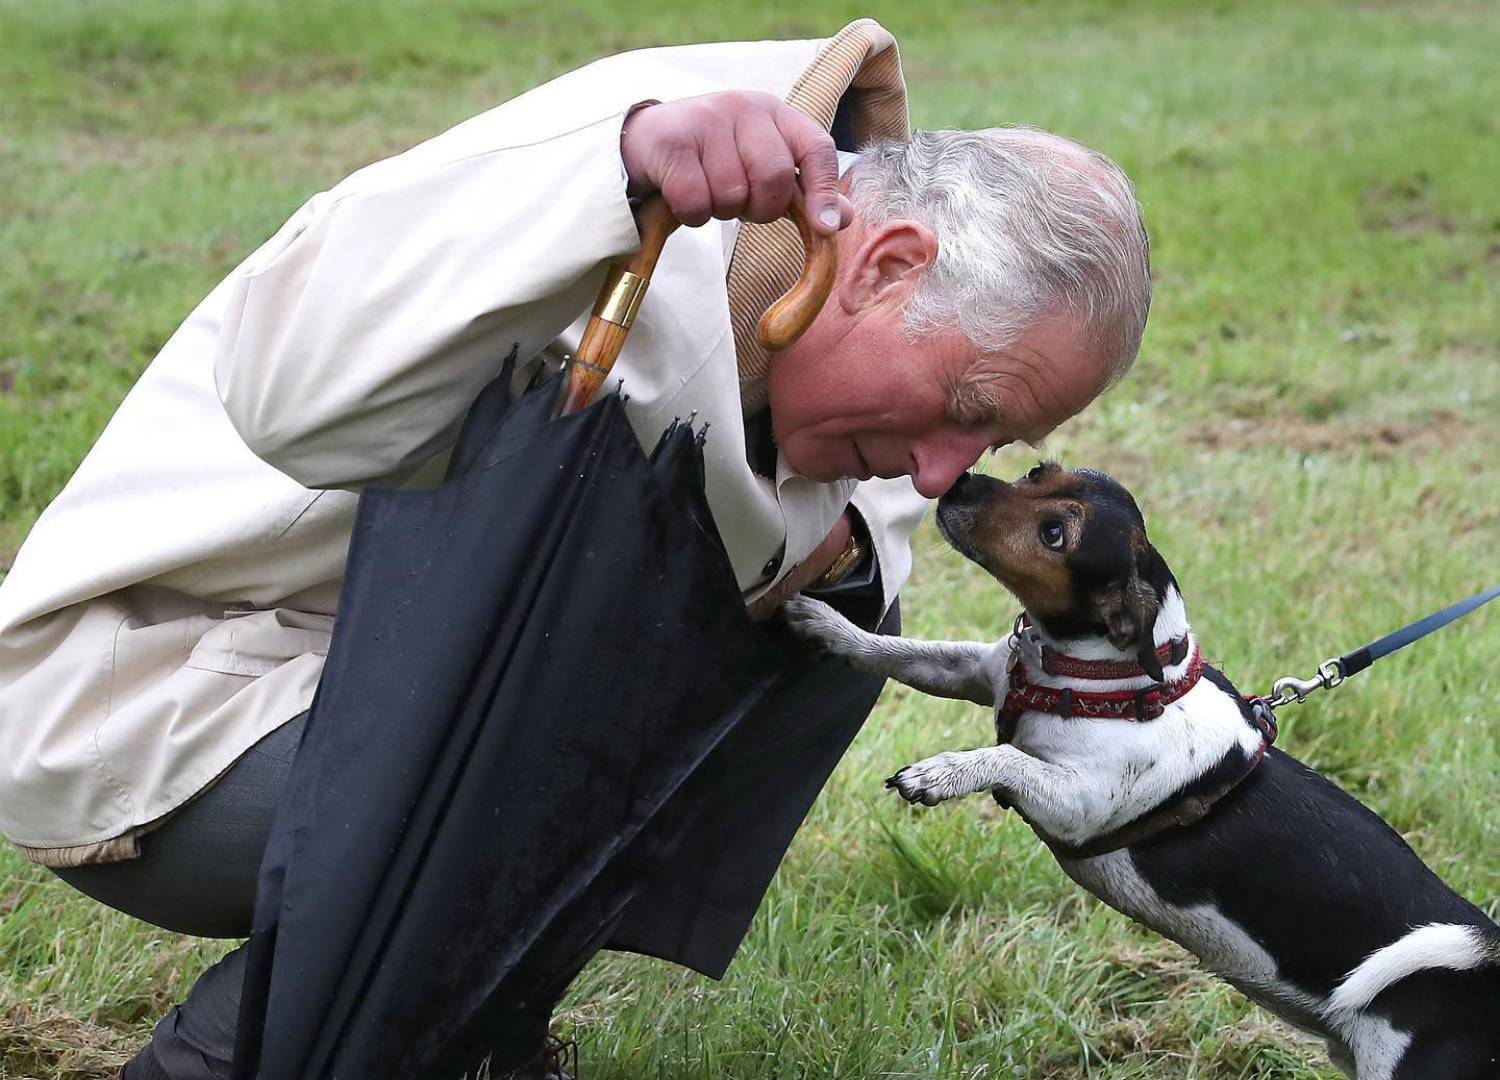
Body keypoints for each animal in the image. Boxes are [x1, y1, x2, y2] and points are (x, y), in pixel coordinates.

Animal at [786, 465, 1500, 1080]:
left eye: (1055, 534)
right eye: (1038, 472)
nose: (957, 481)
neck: (1098, 672)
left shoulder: (1077, 801)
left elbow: (1005, 758)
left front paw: (939, 773)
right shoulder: (971, 672)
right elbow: (896, 653)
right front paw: (826, 623)